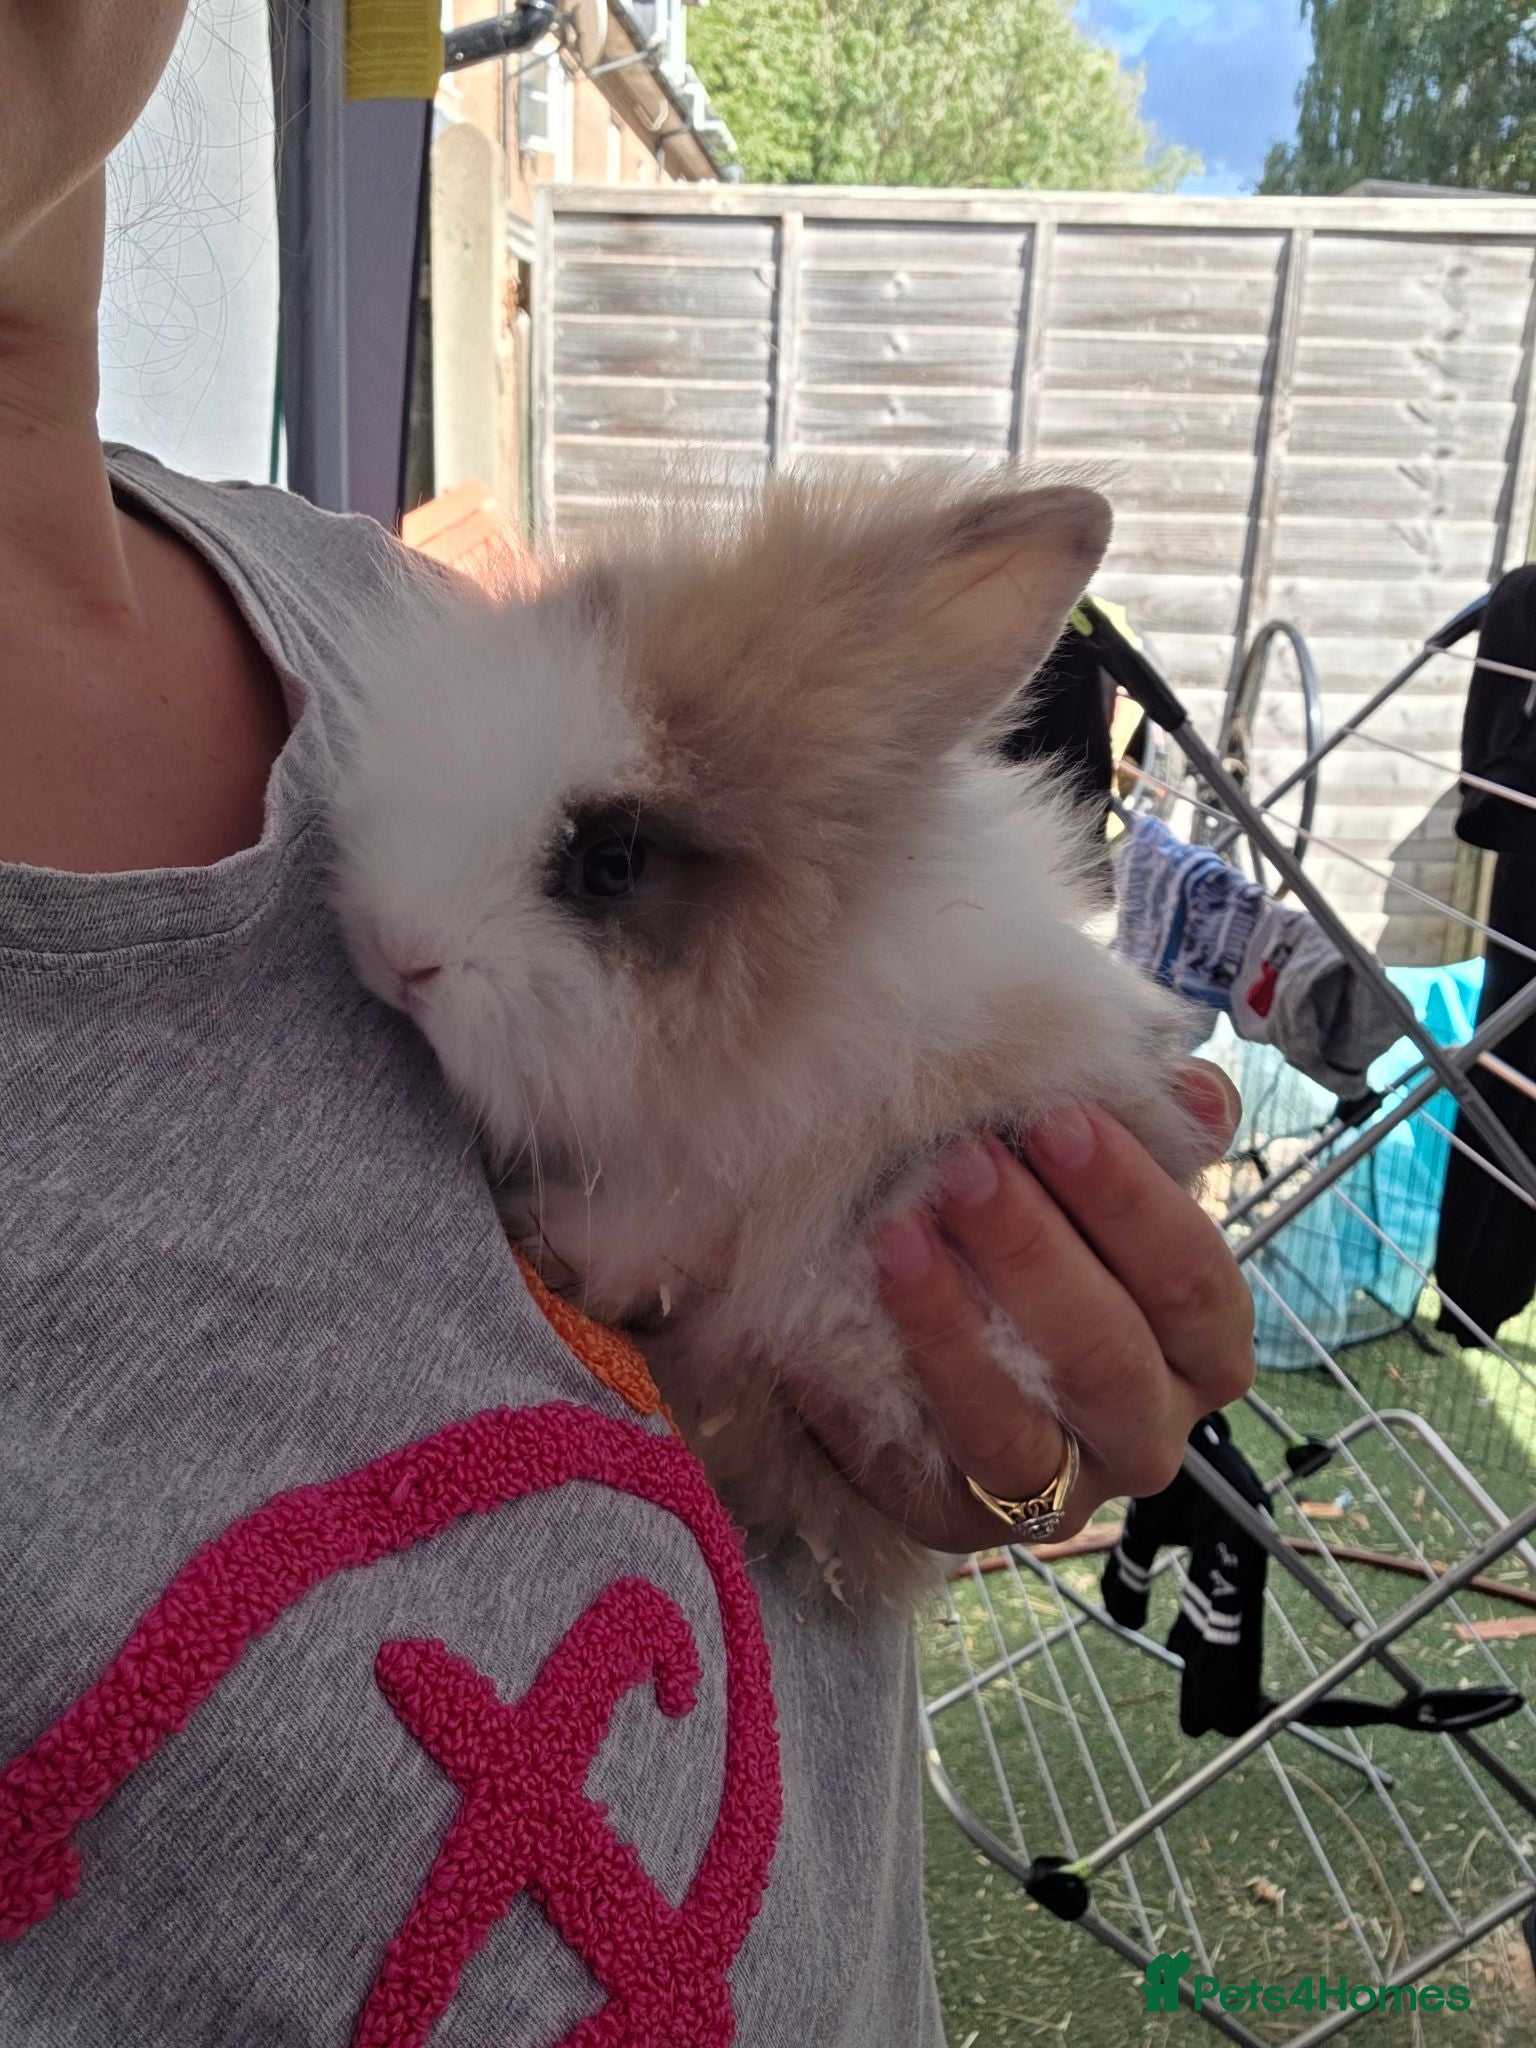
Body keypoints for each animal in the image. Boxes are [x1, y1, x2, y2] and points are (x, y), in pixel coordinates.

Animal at [330, 472, 1210, 1606]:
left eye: (612, 862)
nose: (397, 954)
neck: (795, 986)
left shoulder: (729, 1186)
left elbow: (648, 1239)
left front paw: (548, 1230)